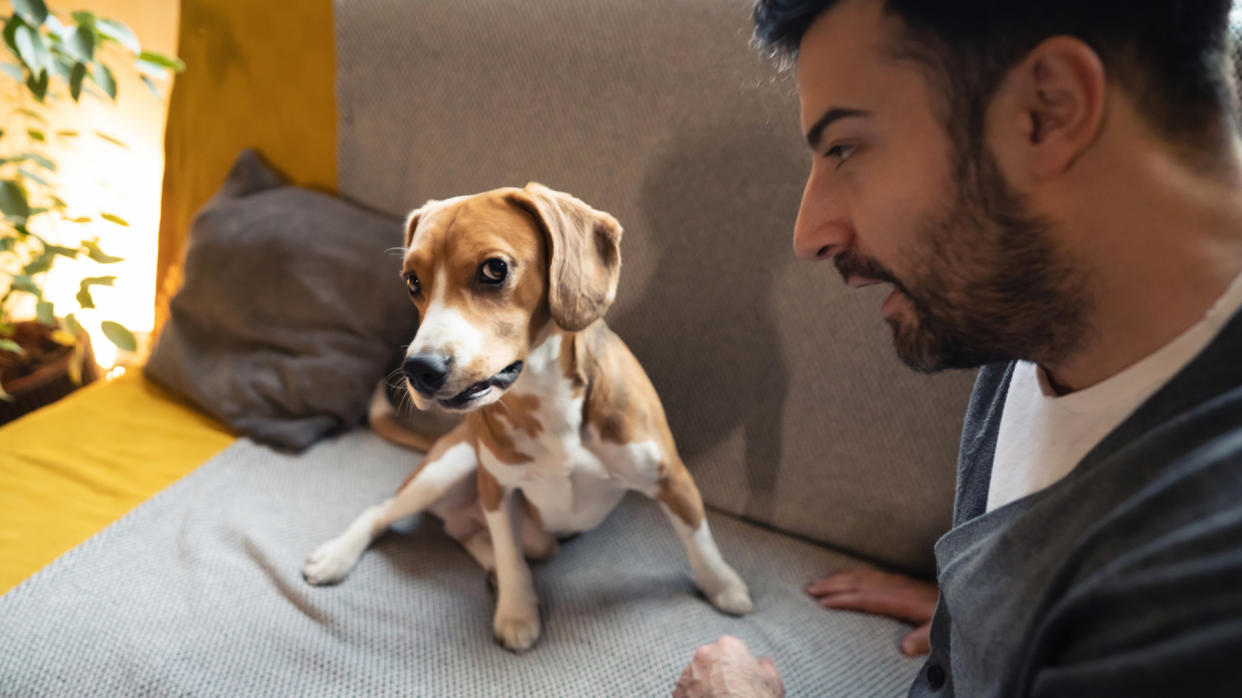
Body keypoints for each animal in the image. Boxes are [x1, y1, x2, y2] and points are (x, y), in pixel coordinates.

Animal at [300, 182, 750, 650]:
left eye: (494, 269)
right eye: (412, 281)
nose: (418, 370)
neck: (544, 393)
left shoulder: (671, 476)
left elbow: (699, 538)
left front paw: (723, 587)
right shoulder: (498, 489)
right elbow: (510, 554)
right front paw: (517, 612)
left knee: (471, 534)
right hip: (448, 467)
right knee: (383, 513)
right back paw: (337, 556)